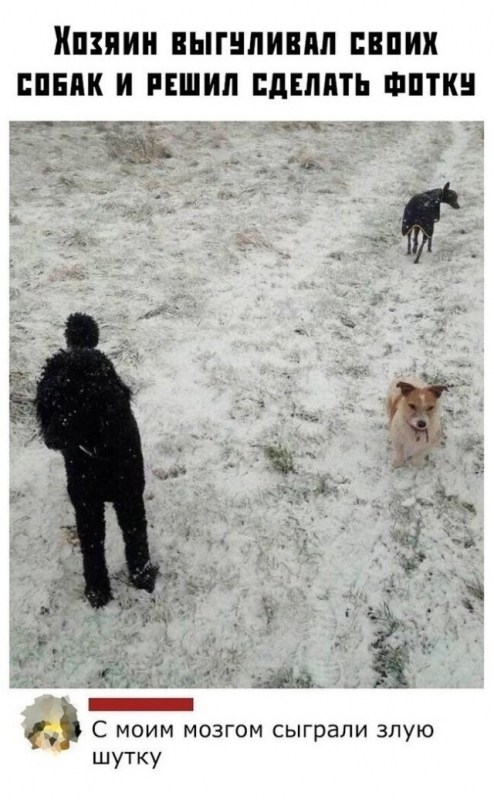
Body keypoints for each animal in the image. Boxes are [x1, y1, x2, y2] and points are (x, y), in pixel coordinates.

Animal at [36, 313, 158, 608]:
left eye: (78, 404)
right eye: (49, 404)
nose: (49, 438)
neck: (100, 454)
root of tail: (80, 348)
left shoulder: (129, 497)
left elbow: (136, 538)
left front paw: (143, 578)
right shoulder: (87, 503)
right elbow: (91, 548)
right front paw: (98, 590)